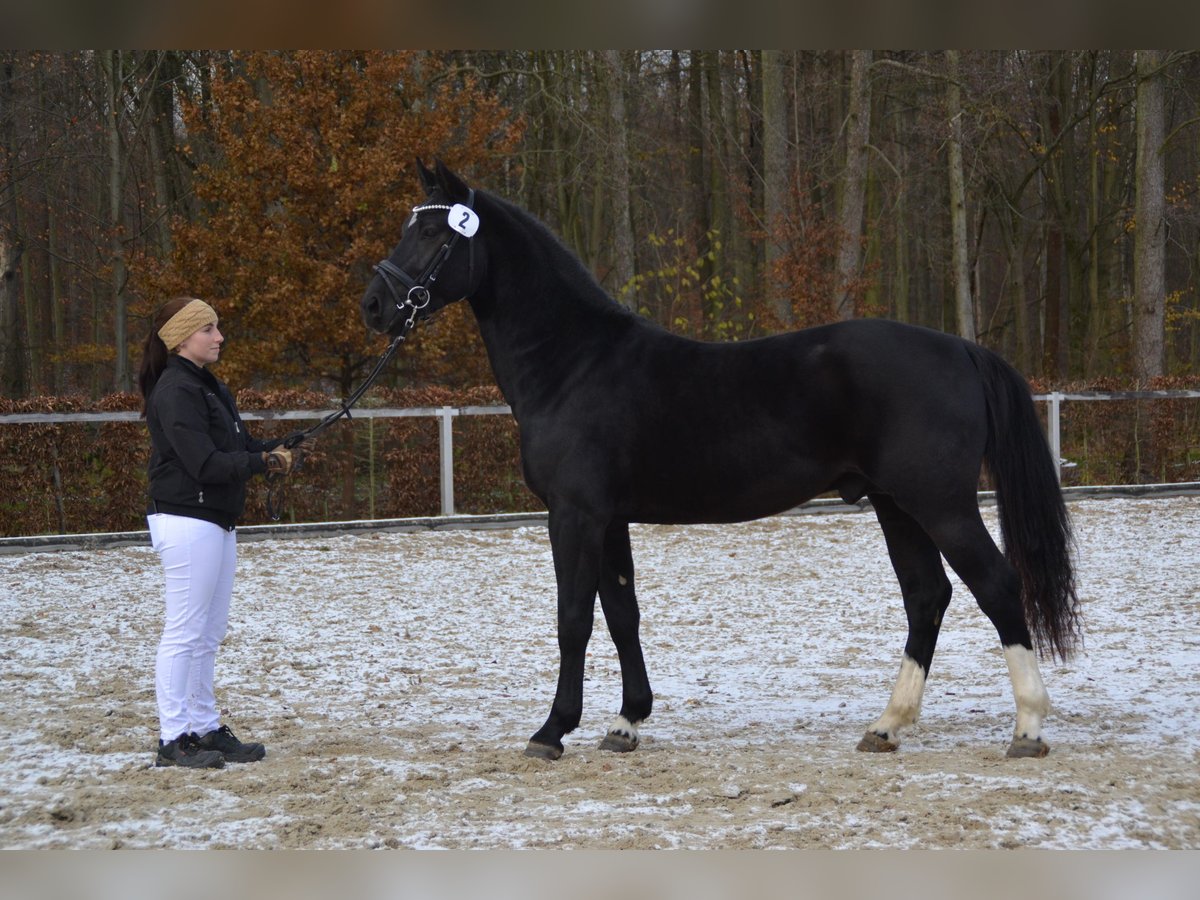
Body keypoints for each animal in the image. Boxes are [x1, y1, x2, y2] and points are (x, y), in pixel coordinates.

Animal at [360, 162, 1084, 763]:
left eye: (435, 233)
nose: (374, 305)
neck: (575, 364)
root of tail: (960, 349)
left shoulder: (574, 515)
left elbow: (574, 620)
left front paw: (552, 730)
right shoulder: (609, 519)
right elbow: (622, 614)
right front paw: (626, 723)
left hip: (941, 503)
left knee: (996, 585)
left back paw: (1027, 728)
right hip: (896, 504)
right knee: (926, 595)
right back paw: (886, 726)